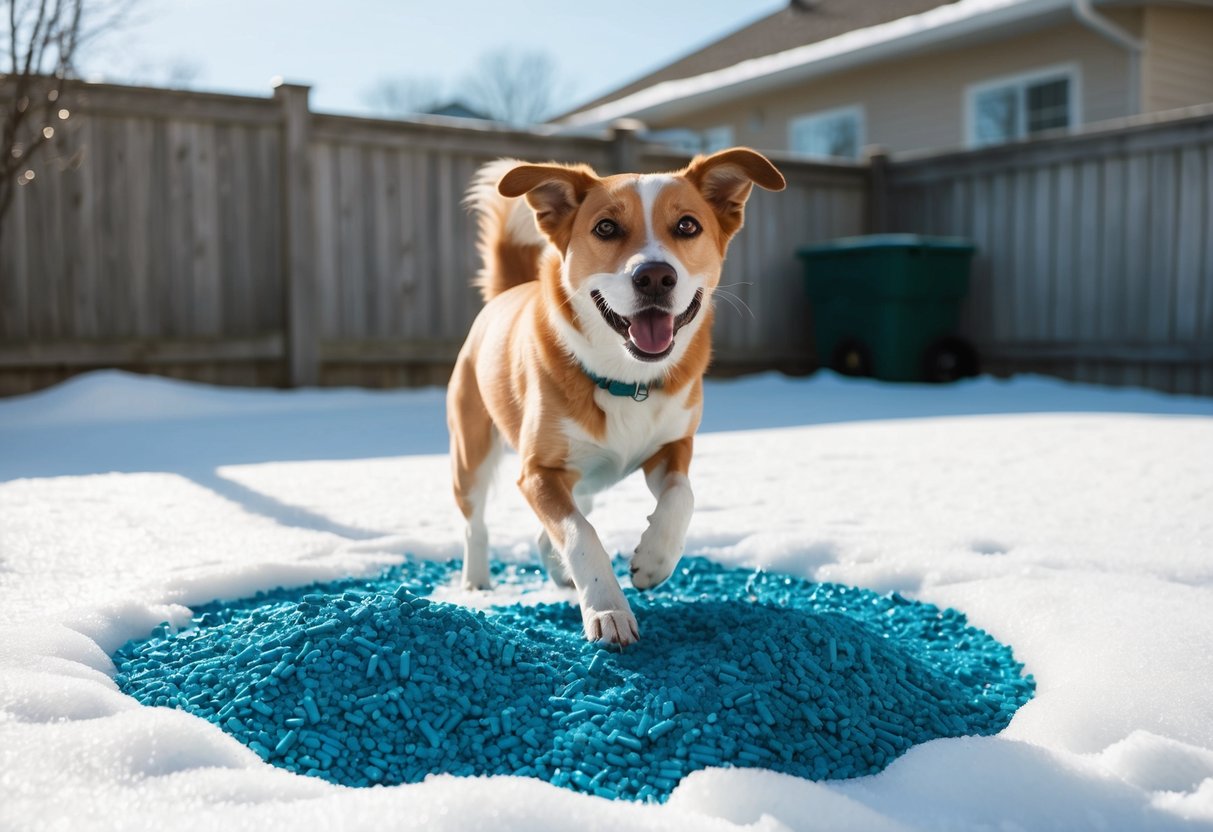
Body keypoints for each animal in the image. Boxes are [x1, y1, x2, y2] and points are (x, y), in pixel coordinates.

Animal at [448, 148, 786, 645]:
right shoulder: (539, 472)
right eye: (606, 227)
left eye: (687, 225)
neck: (628, 378)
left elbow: (681, 495)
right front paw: (608, 609)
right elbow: (580, 534)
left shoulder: (672, 446)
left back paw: (556, 568)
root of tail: (506, 293)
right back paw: (476, 582)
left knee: (557, 525)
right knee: (475, 522)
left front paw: (654, 560)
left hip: (584, 478)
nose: (655, 276)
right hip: (471, 453)